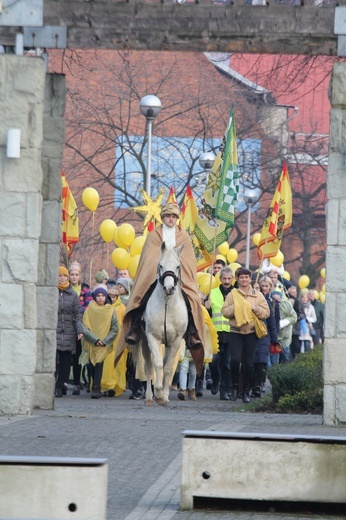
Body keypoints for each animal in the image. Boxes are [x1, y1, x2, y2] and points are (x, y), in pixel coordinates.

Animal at [137, 242, 188, 404]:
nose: (169, 288)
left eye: (178, 266)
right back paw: (149, 397)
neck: (167, 305)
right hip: (144, 341)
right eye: (160, 265)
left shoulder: (176, 341)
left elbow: (168, 368)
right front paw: (158, 393)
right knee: (148, 366)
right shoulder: (152, 338)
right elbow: (157, 364)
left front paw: (164, 396)